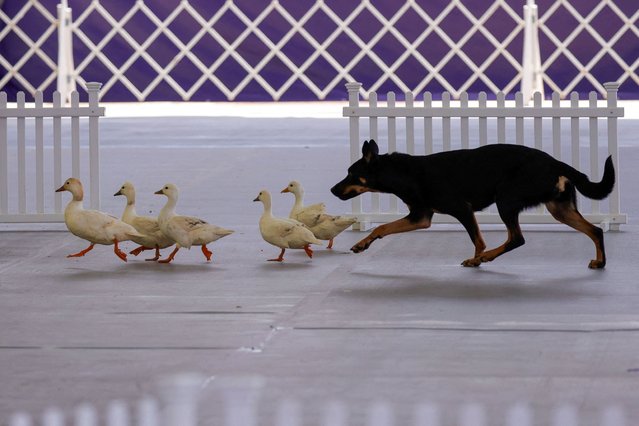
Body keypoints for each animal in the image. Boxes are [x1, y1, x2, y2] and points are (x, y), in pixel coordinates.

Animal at [330, 140, 616, 268]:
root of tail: (556, 163)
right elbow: (382, 228)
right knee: (595, 231)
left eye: (352, 174)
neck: (405, 173)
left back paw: (487, 257)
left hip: (505, 200)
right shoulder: (421, 217)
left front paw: (477, 258)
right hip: (560, 209)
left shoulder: (458, 210)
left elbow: (478, 240)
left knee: (516, 238)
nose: (332, 190)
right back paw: (600, 262)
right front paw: (362, 244)